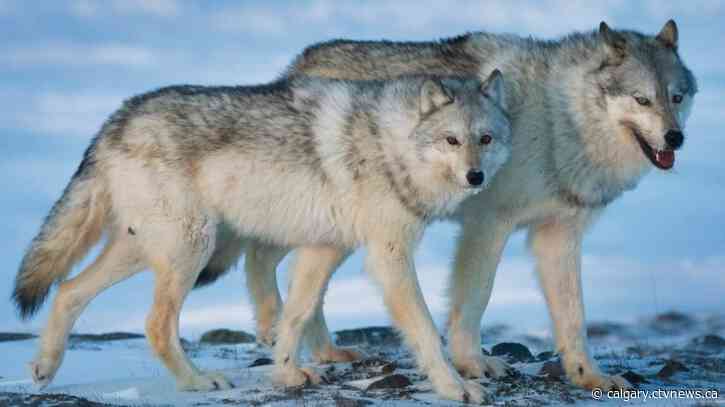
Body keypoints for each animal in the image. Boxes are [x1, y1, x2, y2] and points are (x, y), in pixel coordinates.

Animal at [13, 72, 512, 402]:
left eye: (485, 138)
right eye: (451, 140)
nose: (476, 177)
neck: (391, 145)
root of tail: (116, 119)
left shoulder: (324, 249)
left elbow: (294, 314)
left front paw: (287, 374)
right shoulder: (388, 256)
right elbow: (426, 330)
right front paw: (455, 386)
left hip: (149, 248)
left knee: (67, 290)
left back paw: (44, 368)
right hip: (190, 248)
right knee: (154, 324)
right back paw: (197, 382)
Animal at [230, 20, 697, 392]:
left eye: (676, 97)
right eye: (641, 99)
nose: (675, 138)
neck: (558, 119)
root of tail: (298, 63)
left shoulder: (559, 234)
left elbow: (573, 316)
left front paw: (588, 375)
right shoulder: (489, 224)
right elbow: (476, 297)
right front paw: (471, 363)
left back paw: (323, 349)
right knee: (261, 256)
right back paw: (274, 329)